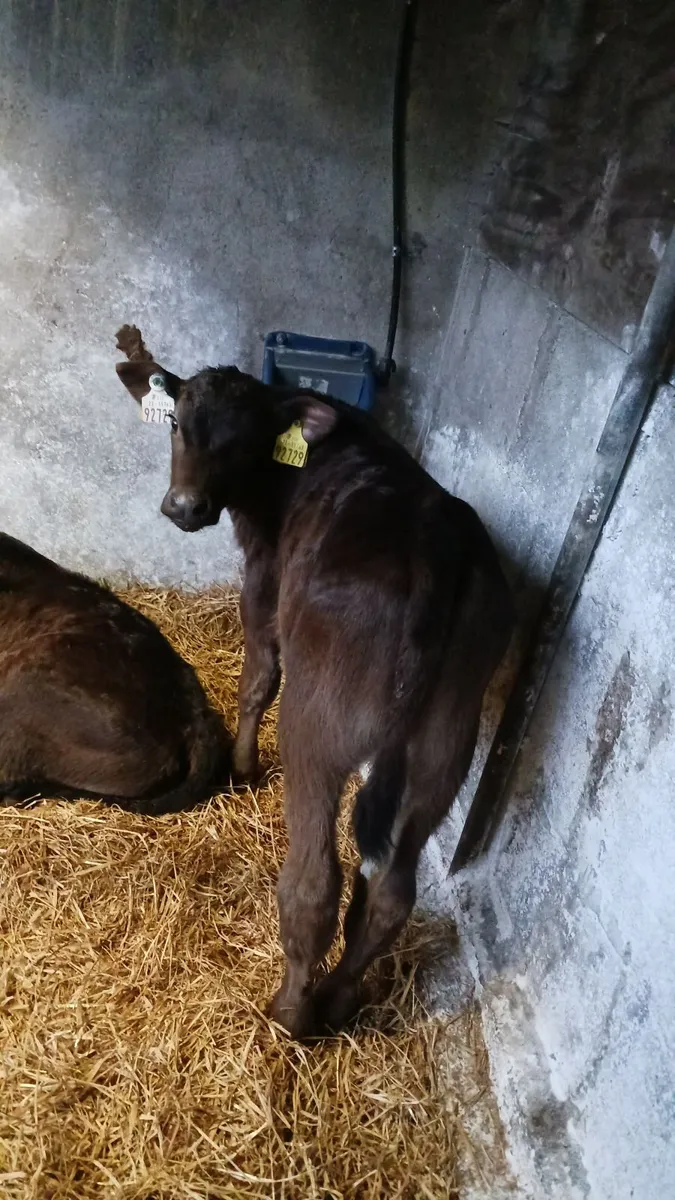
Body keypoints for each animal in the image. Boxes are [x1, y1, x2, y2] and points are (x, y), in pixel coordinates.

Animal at [116, 324, 514, 1038]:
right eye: (178, 423)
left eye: (244, 439)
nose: (184, 507)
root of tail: (435, 543)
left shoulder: (264, 579)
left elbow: (258, 677)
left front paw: (242, 767)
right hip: (445, 743)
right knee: (390, 892)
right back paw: (338, 999)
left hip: (319, 726)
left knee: (314, 883)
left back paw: (291, 1013)